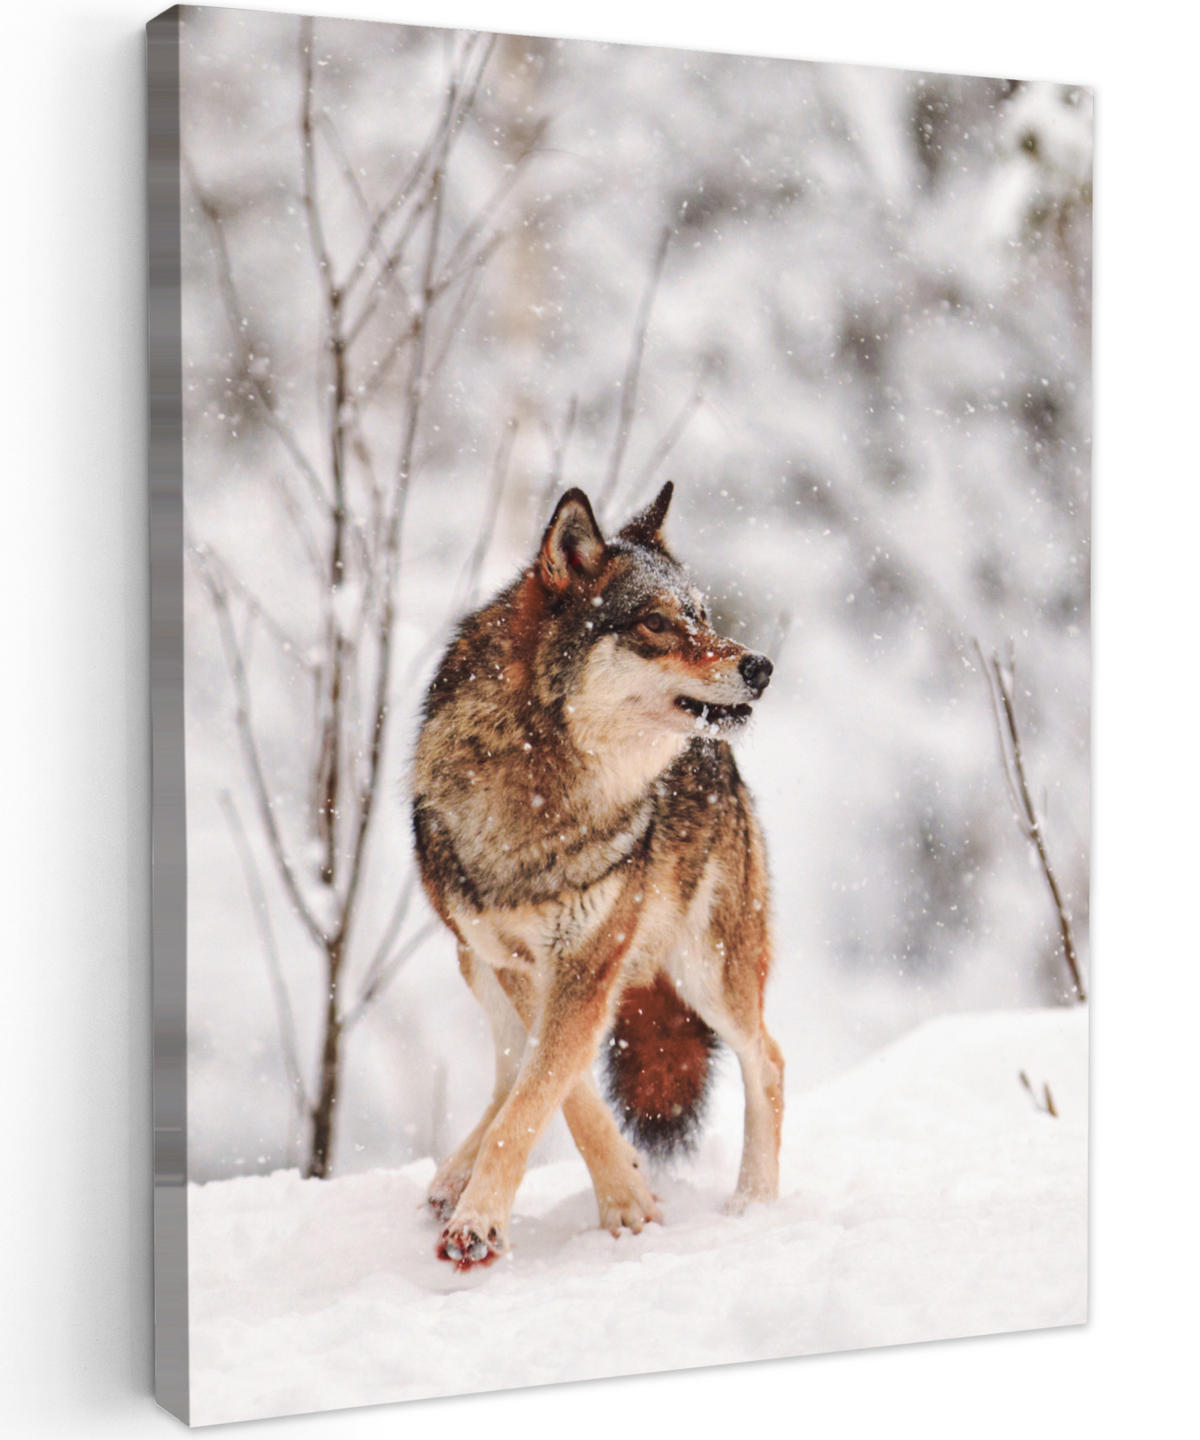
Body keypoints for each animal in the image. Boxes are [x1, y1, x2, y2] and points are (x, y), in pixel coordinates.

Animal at [412, 481, 783, 1269]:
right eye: (656, 623)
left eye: (702, 615)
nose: (761, 667)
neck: (542, 788)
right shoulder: (522, 964)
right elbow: (558, 1090)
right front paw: (626, 1197)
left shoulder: (586, 962)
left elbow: (540, 1095)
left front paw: (482, 1223)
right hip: (475, 965)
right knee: (509, 1067)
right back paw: (452, 1178)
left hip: (709, 971)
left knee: (767, 1061)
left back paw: (755, 1204)